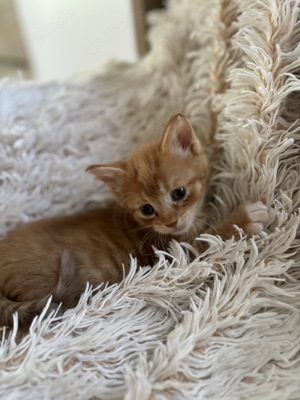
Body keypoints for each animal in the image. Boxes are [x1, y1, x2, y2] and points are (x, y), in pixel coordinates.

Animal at [0, 114, 268, 326]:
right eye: (147, 209)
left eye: (179, 193)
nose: (171, 222)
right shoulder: (173, 256)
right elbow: (207, 242)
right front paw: (242, 219)